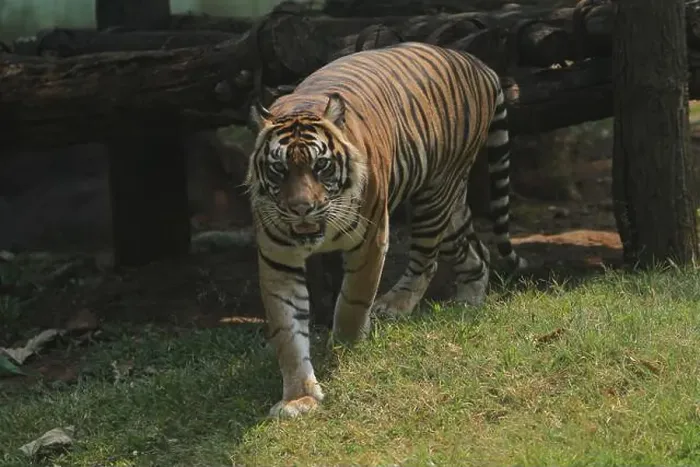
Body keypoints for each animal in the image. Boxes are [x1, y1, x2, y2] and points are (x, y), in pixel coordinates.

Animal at [245, 41, 527, 418]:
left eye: (321, 166)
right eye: (279, 170)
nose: (301, 208)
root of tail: (478, 63)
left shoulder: (370, 238)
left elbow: (353, 300)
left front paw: (345, 347)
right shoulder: (278, 259)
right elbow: (287, 330)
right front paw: (298, 398)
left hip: (433, 196)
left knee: (426, 260)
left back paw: (394, 306)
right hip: (451, 204)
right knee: (476, 254)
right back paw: (467, 304)